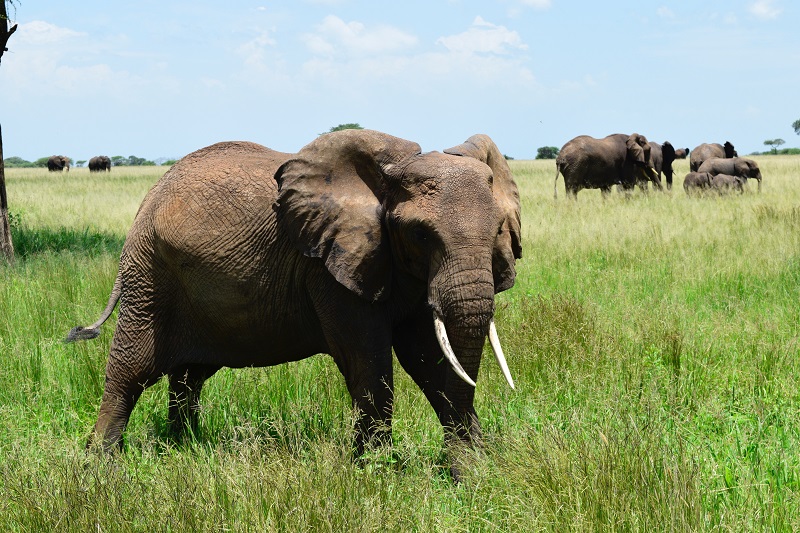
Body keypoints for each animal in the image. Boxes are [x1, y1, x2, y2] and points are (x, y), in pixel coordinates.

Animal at [65, 130, 522, 481]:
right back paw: (101, 466)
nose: (462, 475)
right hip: (149, 277)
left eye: (498, 230)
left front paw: (472, 473)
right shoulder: (327, 266)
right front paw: (375, 474)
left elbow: (429, 359)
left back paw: (186, 445)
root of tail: (146, 200)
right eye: (421, 234)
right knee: (131, 370)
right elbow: (368, 361)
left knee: (189, 376)